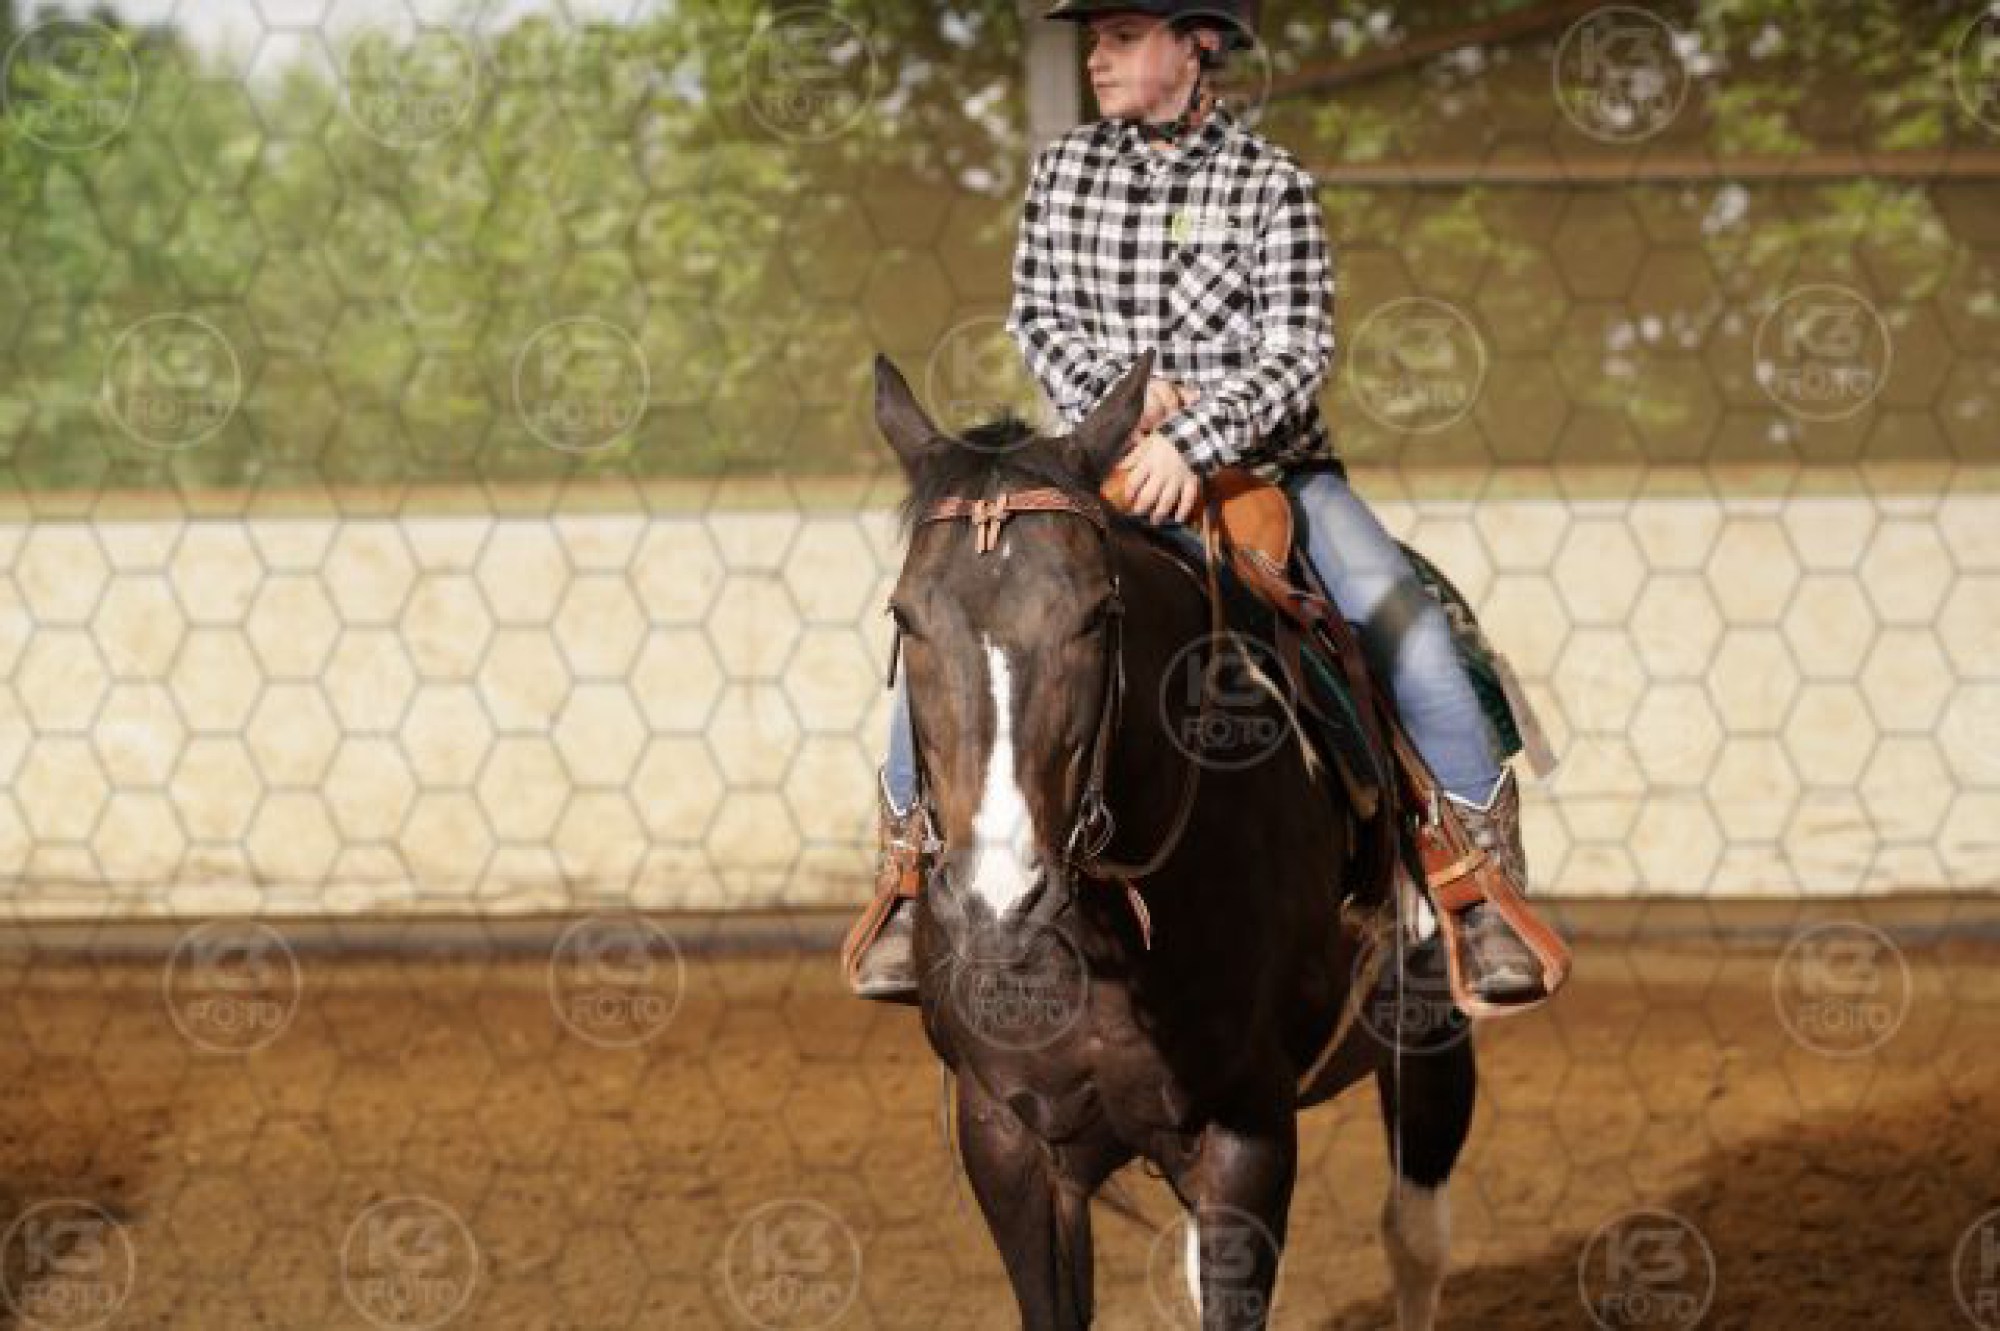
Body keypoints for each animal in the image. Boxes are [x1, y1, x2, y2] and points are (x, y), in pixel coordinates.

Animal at [873, 349, 1477, 1330]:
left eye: (1093, 614)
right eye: (905, 616)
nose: (1000, 902)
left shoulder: (1247, 1135)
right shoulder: (1005, 1139)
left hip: (1429, 1025)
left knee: (1416, 1235)